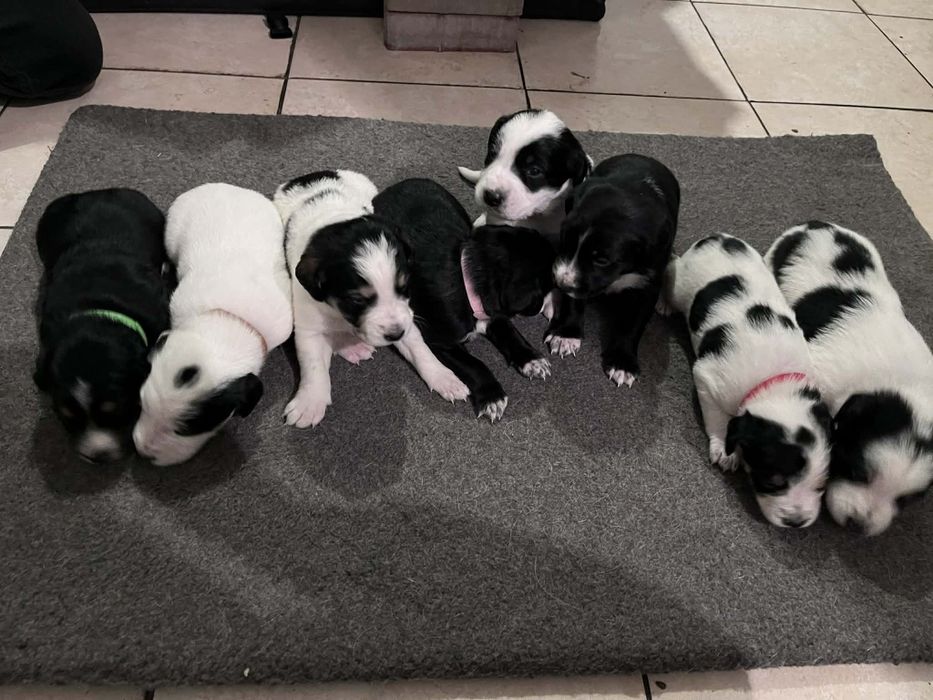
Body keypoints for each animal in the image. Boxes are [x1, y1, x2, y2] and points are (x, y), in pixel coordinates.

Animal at [273, 170, 469, 428]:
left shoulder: (405, 318)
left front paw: (443, 377)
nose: (395, 335)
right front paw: (310, 402)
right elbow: (313, 367)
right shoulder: (308, 324)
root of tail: (307, 177)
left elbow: (420, 349)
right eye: (357, 300)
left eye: (405, 286)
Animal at [373, 178, 554, 421]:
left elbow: (511, 335)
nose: (542, 306)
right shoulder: (440, 341)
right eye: (545, 284)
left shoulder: (494, 313)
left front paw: (531, 359)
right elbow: (473, 364)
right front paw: (492, 396)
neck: (467, 277)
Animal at [547, 153, 679, 387]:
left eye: (602, 260)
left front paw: (622, 363)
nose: (560, 283)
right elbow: (573, 301)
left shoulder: (647, 284)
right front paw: (566, 335)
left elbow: (632, 324)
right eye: (565, 239)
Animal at [660, 233, 833, 528]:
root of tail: (718, 238)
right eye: (773, 481)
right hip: (680, 282)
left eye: (821, 485)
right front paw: (724, 450)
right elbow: (718, 420)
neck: (776, 385)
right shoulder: (707, 380)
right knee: (671, 269)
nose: (796, 521)